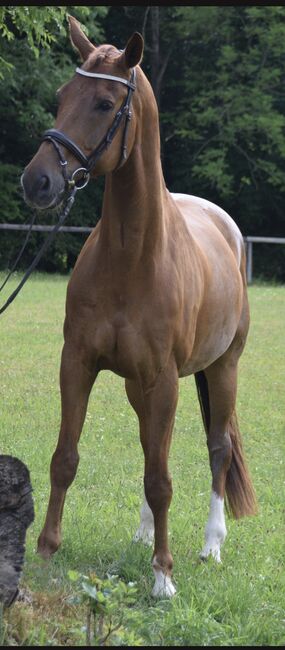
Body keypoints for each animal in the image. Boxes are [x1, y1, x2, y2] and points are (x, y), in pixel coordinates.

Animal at [21, 17, 256, 596]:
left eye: (105, 103)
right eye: (62, 96)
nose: (37, 181)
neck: (132, 255)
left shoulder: (165, 378)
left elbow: (162, 478)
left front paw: (163, 576)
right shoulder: (78, 364)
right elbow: (66, 458)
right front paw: (46, 551)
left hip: (223, 367)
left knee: (216, 447)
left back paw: (210, 545)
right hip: (140, 385)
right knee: (154, 442)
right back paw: (144, 533)